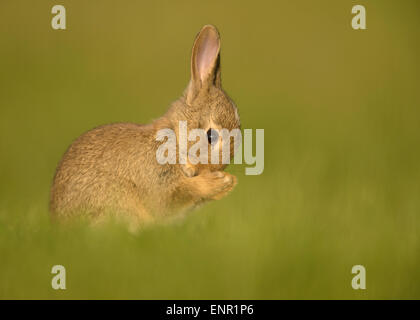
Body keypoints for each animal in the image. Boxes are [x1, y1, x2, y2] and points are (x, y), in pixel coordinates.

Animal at [49, 25, 240, 230]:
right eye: (211, 136)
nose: (211, 170)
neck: (174, 140)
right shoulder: (160, 183)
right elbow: (173, 198)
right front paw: (221, 182)